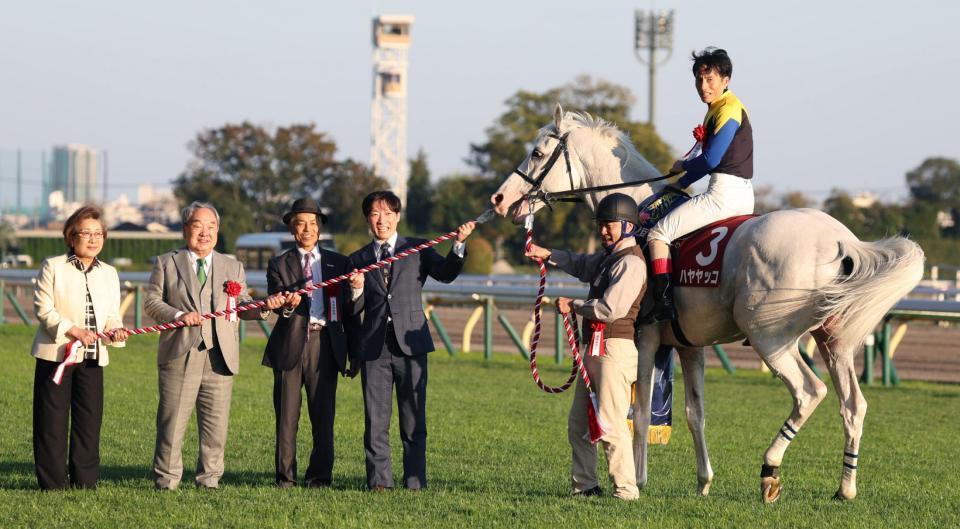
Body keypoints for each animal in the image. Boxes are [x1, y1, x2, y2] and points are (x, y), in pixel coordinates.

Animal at [492, 104, 928, 504]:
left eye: (536, 152)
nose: (500, 198)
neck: (640, 218)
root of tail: (840, 238)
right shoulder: (690, 346)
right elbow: (694, 413)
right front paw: (703, 481)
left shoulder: (646, 339)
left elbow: (642, 409)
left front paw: (639, 479)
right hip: (833, 342)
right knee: (853, 405)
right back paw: (845, 487)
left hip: (771, 339)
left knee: (809, 392)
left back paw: (770, 470)